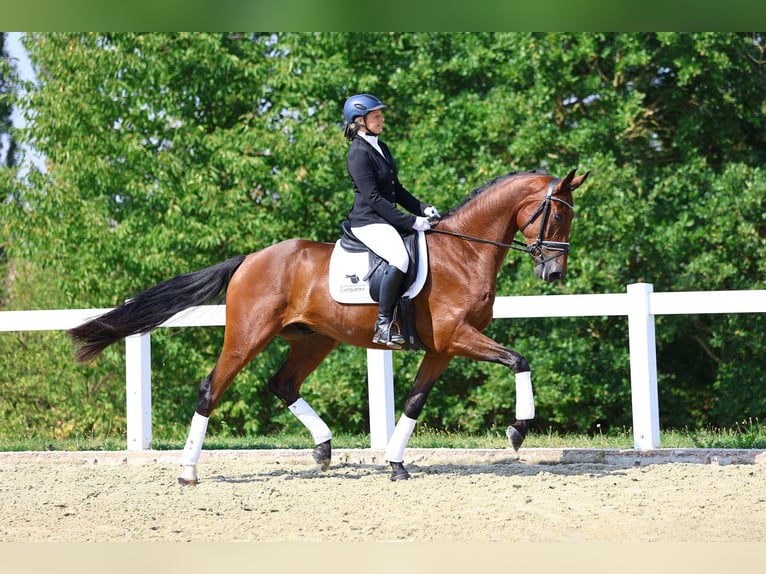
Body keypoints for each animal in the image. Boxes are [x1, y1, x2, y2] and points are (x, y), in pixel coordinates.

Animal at [69, 168, 592, 486]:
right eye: (557, 213)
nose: (555, 273)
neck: (464, 253)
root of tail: (249, 259)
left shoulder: (441, 349)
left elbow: (414, 402)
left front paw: (396, 464)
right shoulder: (456, 338)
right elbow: (519, 360)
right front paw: (518, 429)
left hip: (314, 340)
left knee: (283, 384)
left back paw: (323, 449)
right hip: (247, 336)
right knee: (211, 390)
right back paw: (188, 472)